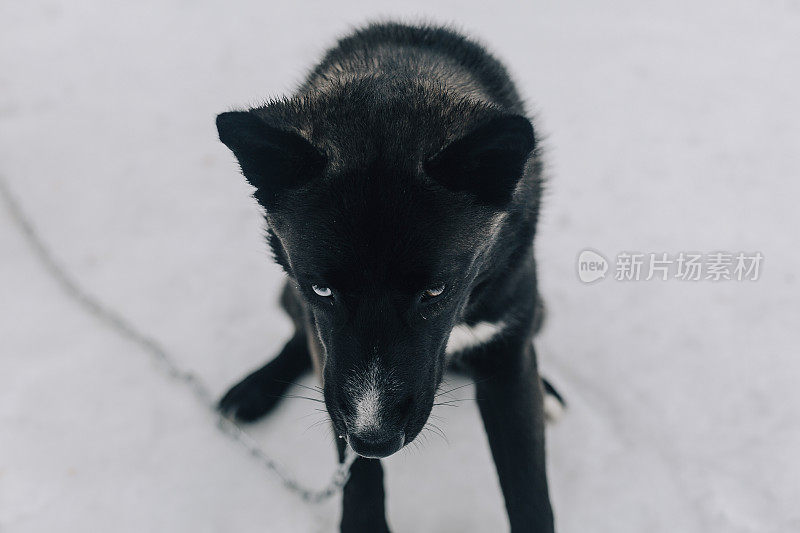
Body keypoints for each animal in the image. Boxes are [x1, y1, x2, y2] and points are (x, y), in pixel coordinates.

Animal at [216, 21, 560, 532]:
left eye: (435, 291)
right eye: (322, 289)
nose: (374, 440)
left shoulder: (506, 355)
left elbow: (530, 494)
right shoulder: (329, 360)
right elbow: (356, 472)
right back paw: (256, 387)